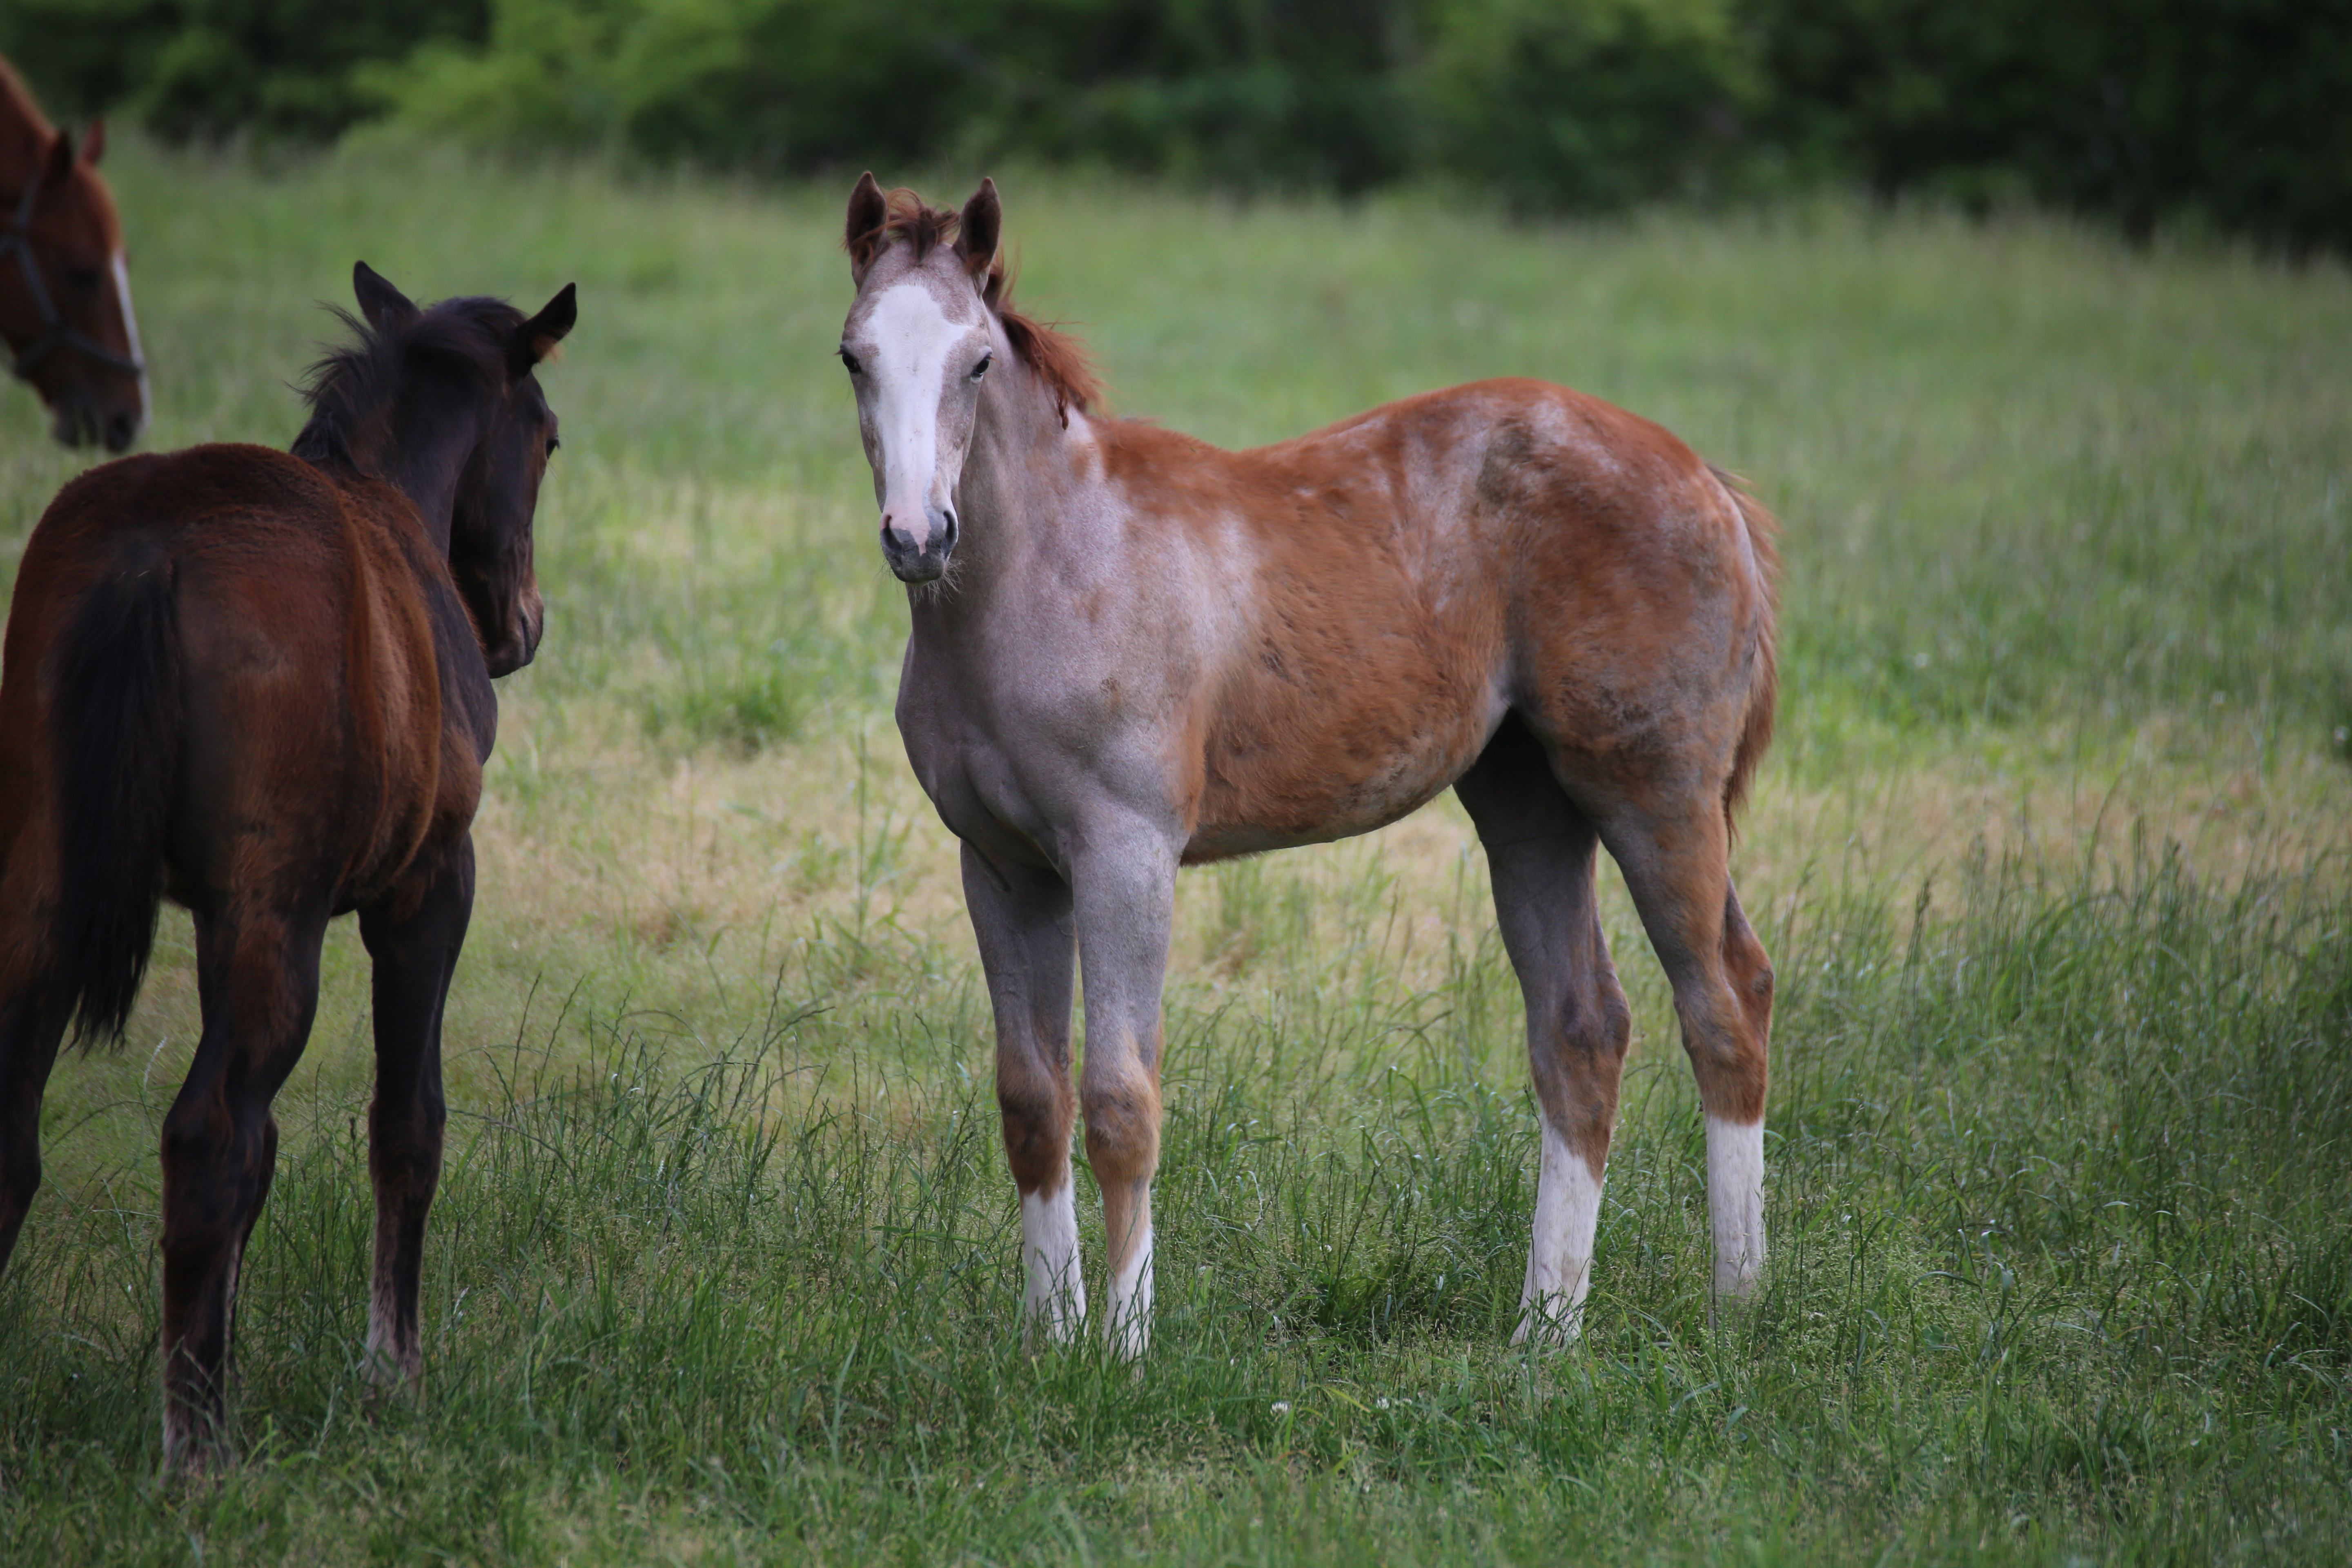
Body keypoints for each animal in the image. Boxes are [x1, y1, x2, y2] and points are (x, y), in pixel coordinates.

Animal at [0, 263, 574, 1467]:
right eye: (548, 437)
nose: (523, 627)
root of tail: (153, 548)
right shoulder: (429, 888)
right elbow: (405, 1124)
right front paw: (391, 1372)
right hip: (277, 917)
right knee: (208, 1138)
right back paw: (197, 1452)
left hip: (42, 890)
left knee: (14, 1137)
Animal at [837, 177, 1768, 1363]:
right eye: (854, 356)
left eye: (976, 362)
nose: (919, 536)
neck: (1052, 570)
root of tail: (1706, 481)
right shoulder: (1002, 868)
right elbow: (1032, 1101)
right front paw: (1050, 1343)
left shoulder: (1125, 853)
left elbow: (1120, 1100)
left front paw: (1122, 1356)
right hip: (1530, 807)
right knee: (1583, 1029)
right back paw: (1544, 1331)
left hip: (1655, 792)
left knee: (1724, 1003)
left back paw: (1737, 1305)